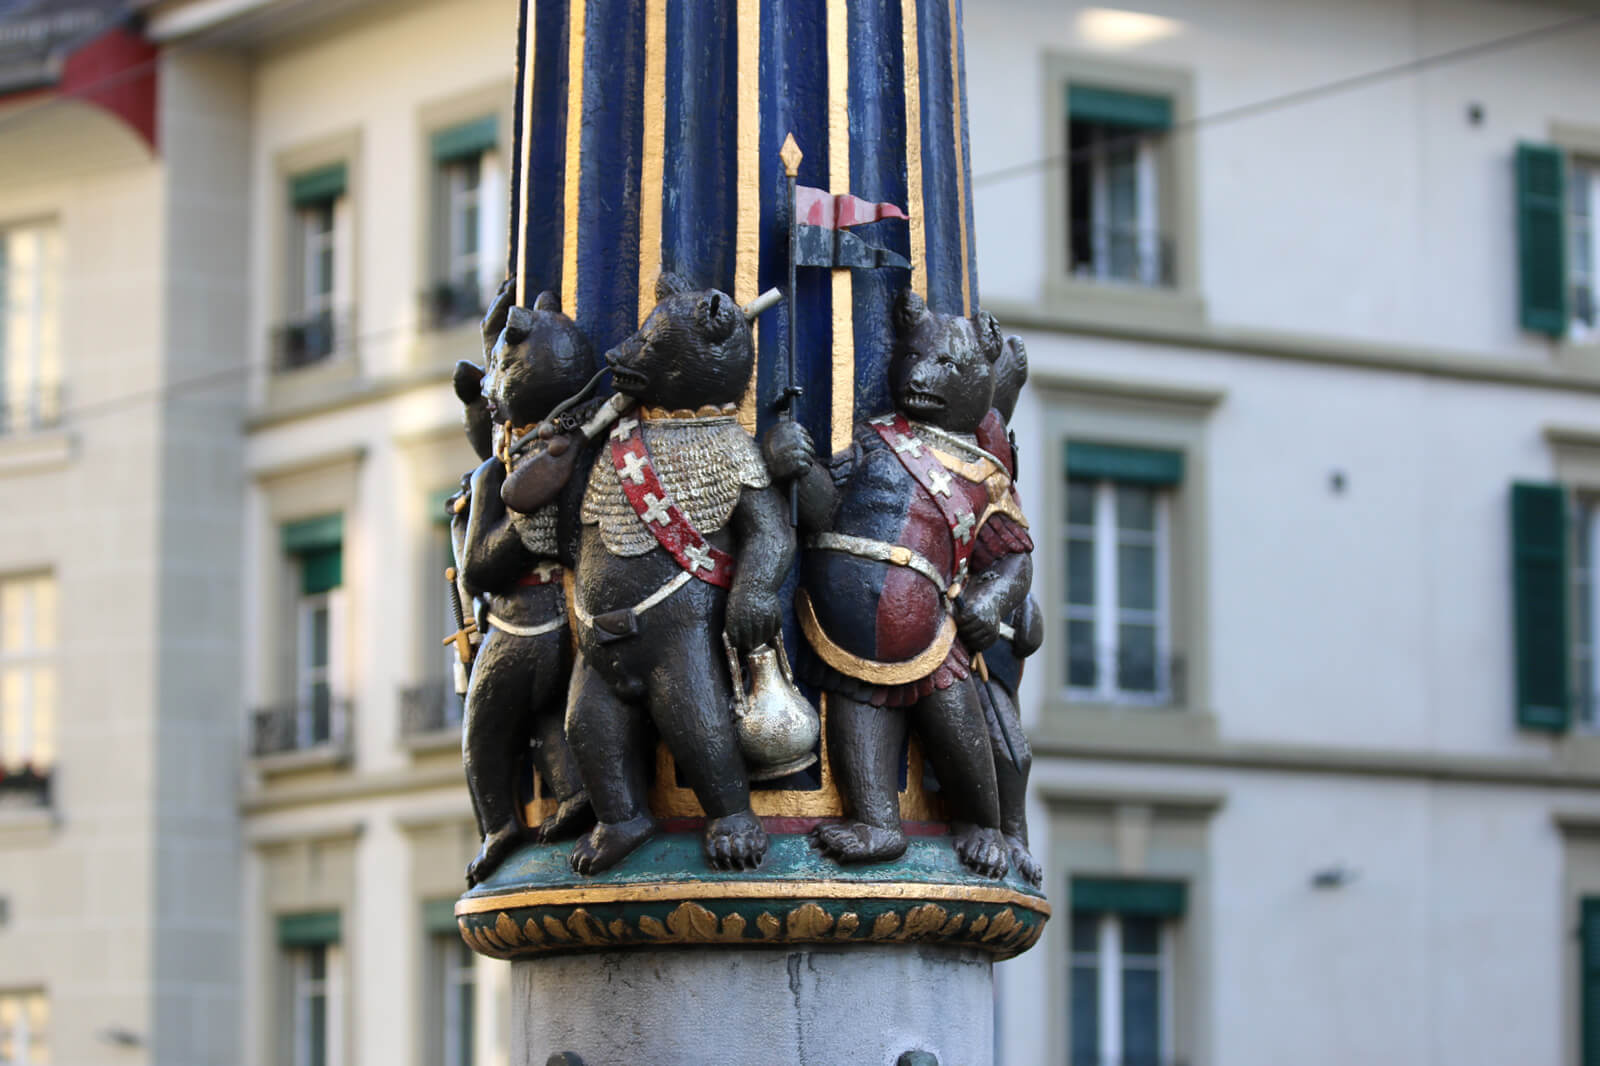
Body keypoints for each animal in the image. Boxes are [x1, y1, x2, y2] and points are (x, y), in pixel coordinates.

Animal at [560, 267, 796, 870]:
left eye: (648, 339)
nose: (612, 356)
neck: (677, 420)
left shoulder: (745, 466)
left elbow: (770, 535)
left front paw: (750, 611)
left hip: (680, 662)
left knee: (699, 725)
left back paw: (735, 835)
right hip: (595, 674)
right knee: (593, 731)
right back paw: (615, 837)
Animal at [764, 286, 1036, 877]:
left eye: (948, 362)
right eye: (911, 353)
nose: (917, 381)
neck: (941, 438)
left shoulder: (999, 493)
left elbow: (1014, 557)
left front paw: (982, 617)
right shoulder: (862, 450)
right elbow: (828, 499)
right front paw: (789, 449)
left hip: (938, 663)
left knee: (963, 733)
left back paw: (987, 841)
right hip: (863, 670)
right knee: (862, 720)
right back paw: (873, 838)